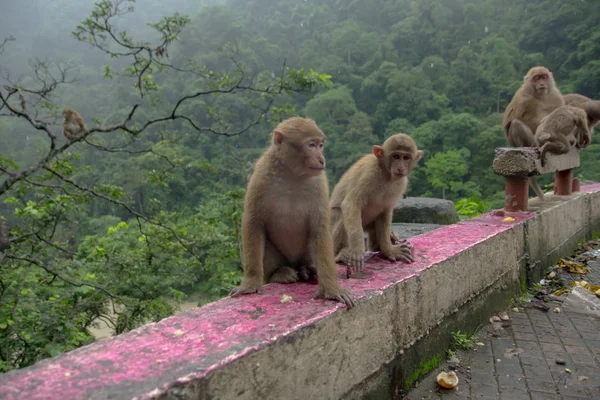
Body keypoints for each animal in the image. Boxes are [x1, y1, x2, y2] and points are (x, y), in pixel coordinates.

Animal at [227, 117, 354, 308]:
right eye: (311, 145)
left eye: (320, 145)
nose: (321, 159)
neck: (292, 174)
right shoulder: (261, 177)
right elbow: (254, 223)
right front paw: (250, 283)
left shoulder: (318, 183)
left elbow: (320, 228)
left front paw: (331, 289)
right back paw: (281, 273)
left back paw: (308, 270)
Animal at [328, 134, 422, 276]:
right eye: (396, 156)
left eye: (406, 157)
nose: (401, 167)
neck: (386, 174)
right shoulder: (369, 173)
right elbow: (351, 203)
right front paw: (357, 250)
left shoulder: (402, 183)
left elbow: (385, 212)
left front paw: (389, 249)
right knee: (343, 217)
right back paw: (339, 255)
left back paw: (380, 244)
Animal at [504, 67, 564, 202]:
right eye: (536, 78)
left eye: (544, 77)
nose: (541, 83)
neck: (540, 96)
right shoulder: (522, 97)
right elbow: (509, 122)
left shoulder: (556, 96)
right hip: (529, 141)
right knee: (515, 124)